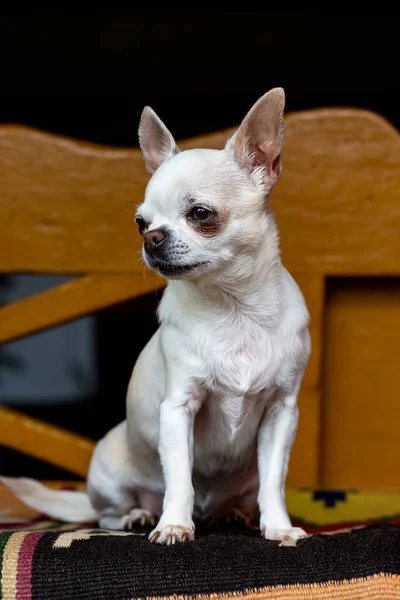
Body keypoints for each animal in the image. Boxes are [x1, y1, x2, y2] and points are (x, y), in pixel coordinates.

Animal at [1, 88, 310, 544]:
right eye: (139, 222)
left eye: (200, 214)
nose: (152, 237)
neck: (232, 307)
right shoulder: (178, 408)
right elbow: (180, 478)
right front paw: (174, 525)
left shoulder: (281, 413)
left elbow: (274, 481)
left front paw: (279, 527)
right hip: (108, 467)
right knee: (108, 513)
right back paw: (140, 515)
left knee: (241, 495)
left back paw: (234, 514)